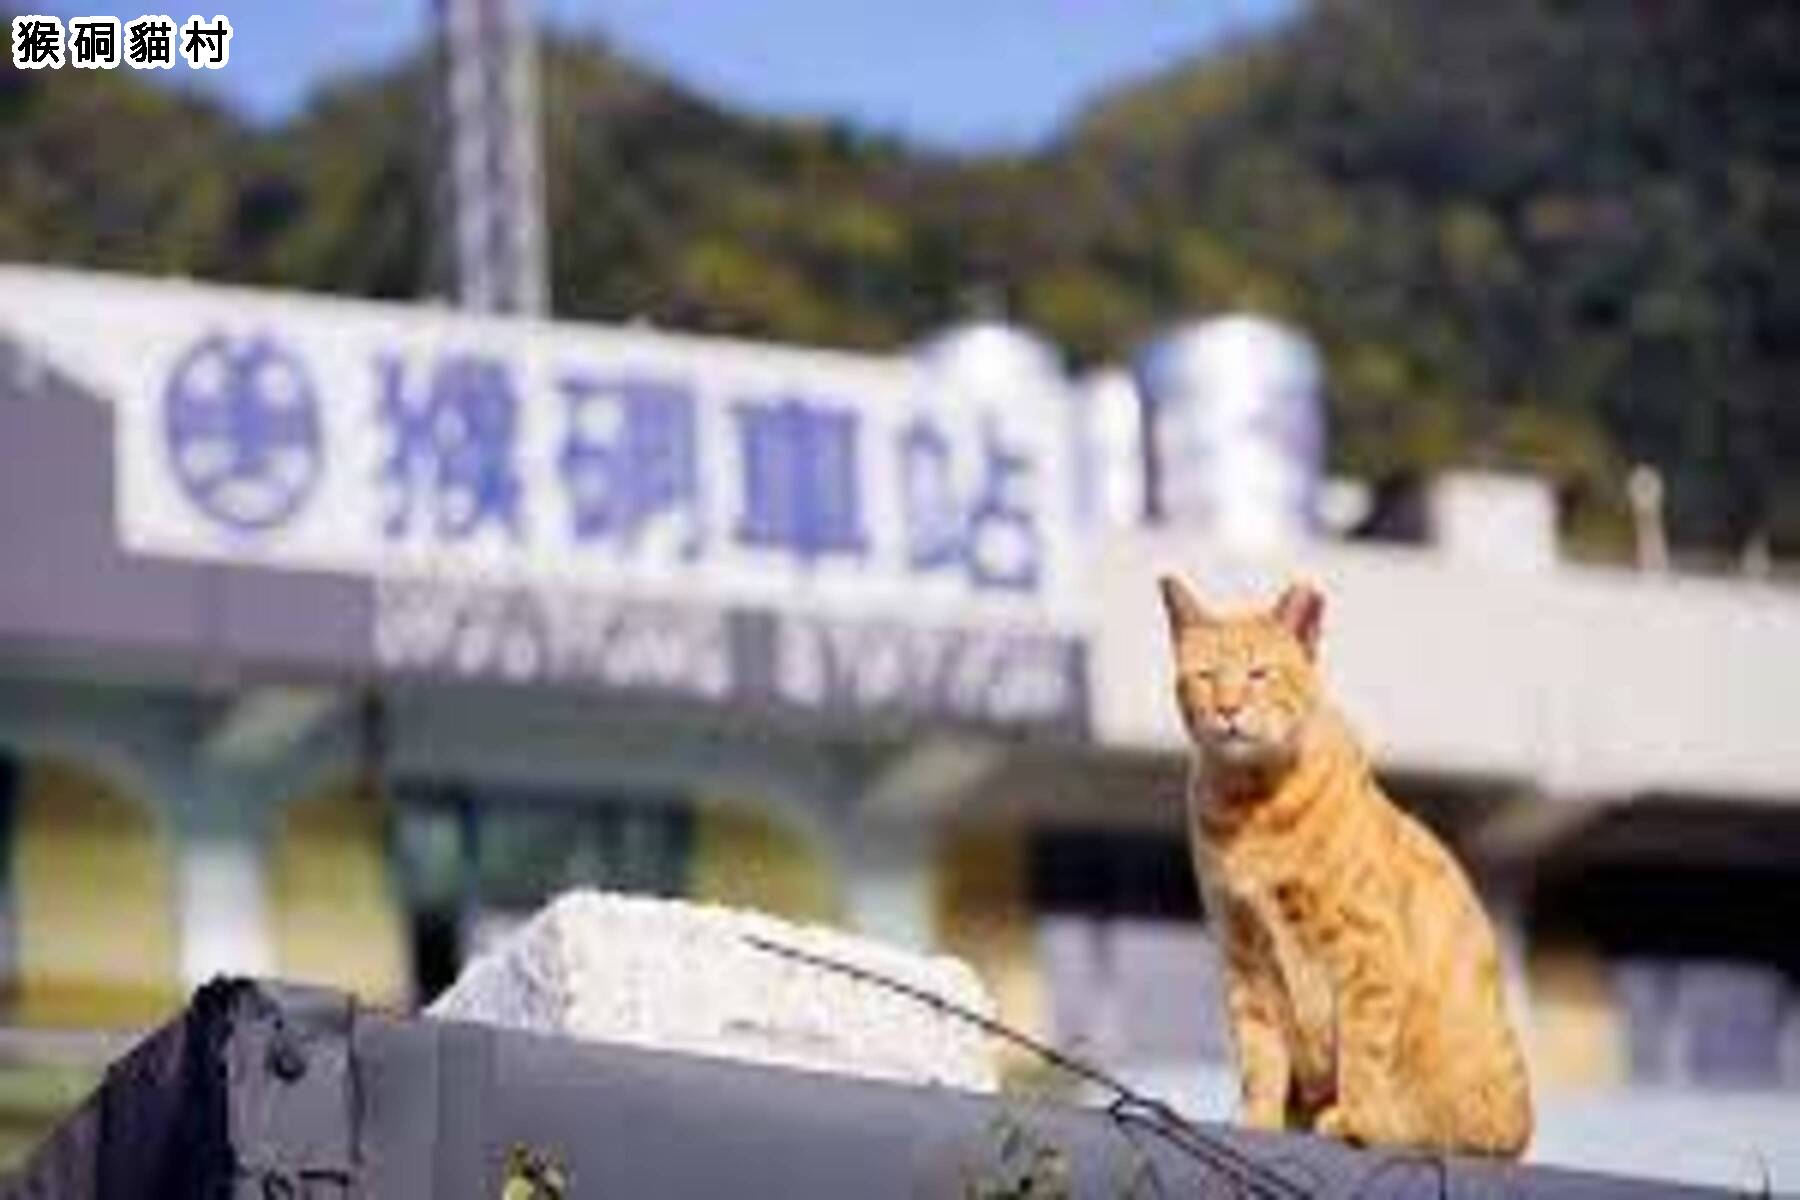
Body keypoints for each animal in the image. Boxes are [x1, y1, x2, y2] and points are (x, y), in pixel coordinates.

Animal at [1152, 575, 1533, 1158]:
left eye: (1259, 673)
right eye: (1206, 675)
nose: (1228, 709)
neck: (1252, 806)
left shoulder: (1365, 946)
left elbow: (1362, 1048)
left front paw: (1356, 1117)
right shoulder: (1245, 955)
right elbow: (1259, 1057)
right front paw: (1259, 1120)